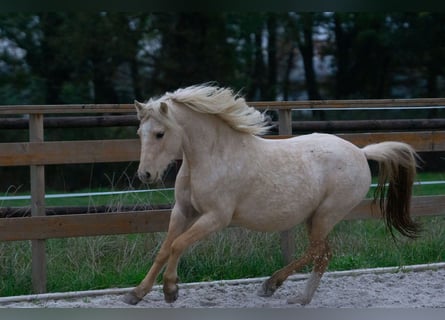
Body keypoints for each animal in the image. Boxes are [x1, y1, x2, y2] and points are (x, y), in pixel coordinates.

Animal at [122, 84, 420, 306]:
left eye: (160, 133)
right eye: (139, 132)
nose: (145, 175)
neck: (212, 157)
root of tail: (361, 152)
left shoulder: (216, 218)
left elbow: (178, 245)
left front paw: (171, 290)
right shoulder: (183, 210)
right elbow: (164, 249)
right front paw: (136, 293)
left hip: (326, 214)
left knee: (317, 252)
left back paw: (273, 286)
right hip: (315, 217)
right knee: (323, 254)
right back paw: (298, 296)